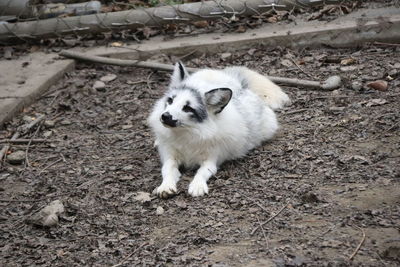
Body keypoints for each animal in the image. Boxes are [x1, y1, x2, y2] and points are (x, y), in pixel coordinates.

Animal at [148, 61, 290, 198]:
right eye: (170, 101)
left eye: (187, 108)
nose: (165, 116)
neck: (187, 134)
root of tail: (231, 79)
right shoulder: (169, 156)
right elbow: (167, 170)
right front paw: (165, 186)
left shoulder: (211, 160)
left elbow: (202, 172)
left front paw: (197, 186)